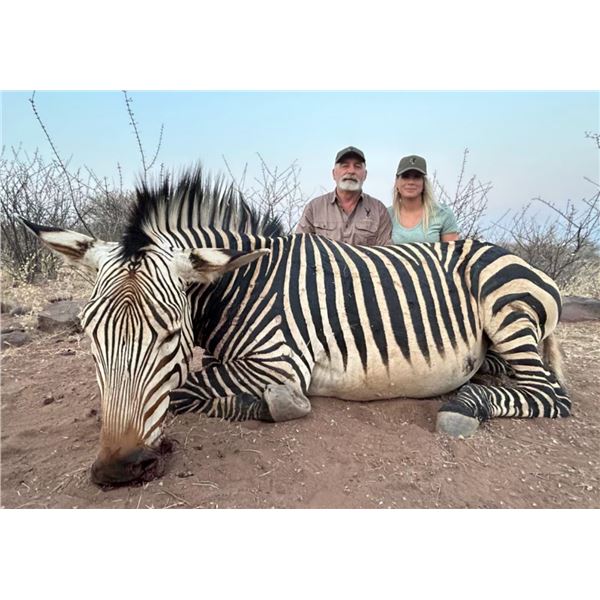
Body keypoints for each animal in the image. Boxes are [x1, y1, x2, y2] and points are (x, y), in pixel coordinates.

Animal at [21, 166, 570, 486]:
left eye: (172, 335)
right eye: (89, 335)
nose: (119, 469)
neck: (239, 284)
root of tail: (524, 261)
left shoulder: (279, 362)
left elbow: (186, 387)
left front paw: (276, 405)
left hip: (505, 310)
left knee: (551, 395)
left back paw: (463, 407)